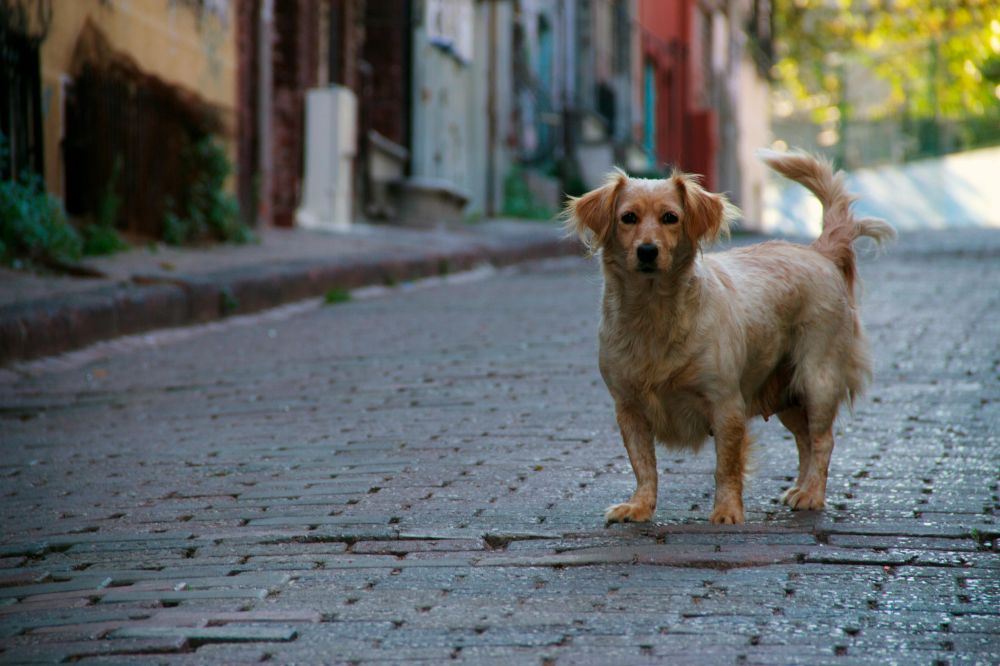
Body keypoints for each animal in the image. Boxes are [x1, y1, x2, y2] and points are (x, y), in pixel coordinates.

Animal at [568, 152, 896, 524]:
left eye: (670, 218)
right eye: (628, 218)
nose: (647, 250)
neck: (653, 313)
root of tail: (818, 252)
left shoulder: (726, 405)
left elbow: (726, 466)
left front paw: (727, 511)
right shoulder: (629, 409)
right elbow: (644, 465)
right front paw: (639, 506)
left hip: (818, 380)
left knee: (823, 440)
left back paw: (812, 494)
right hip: (788, 394)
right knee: (805, 440)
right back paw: (799, 488)